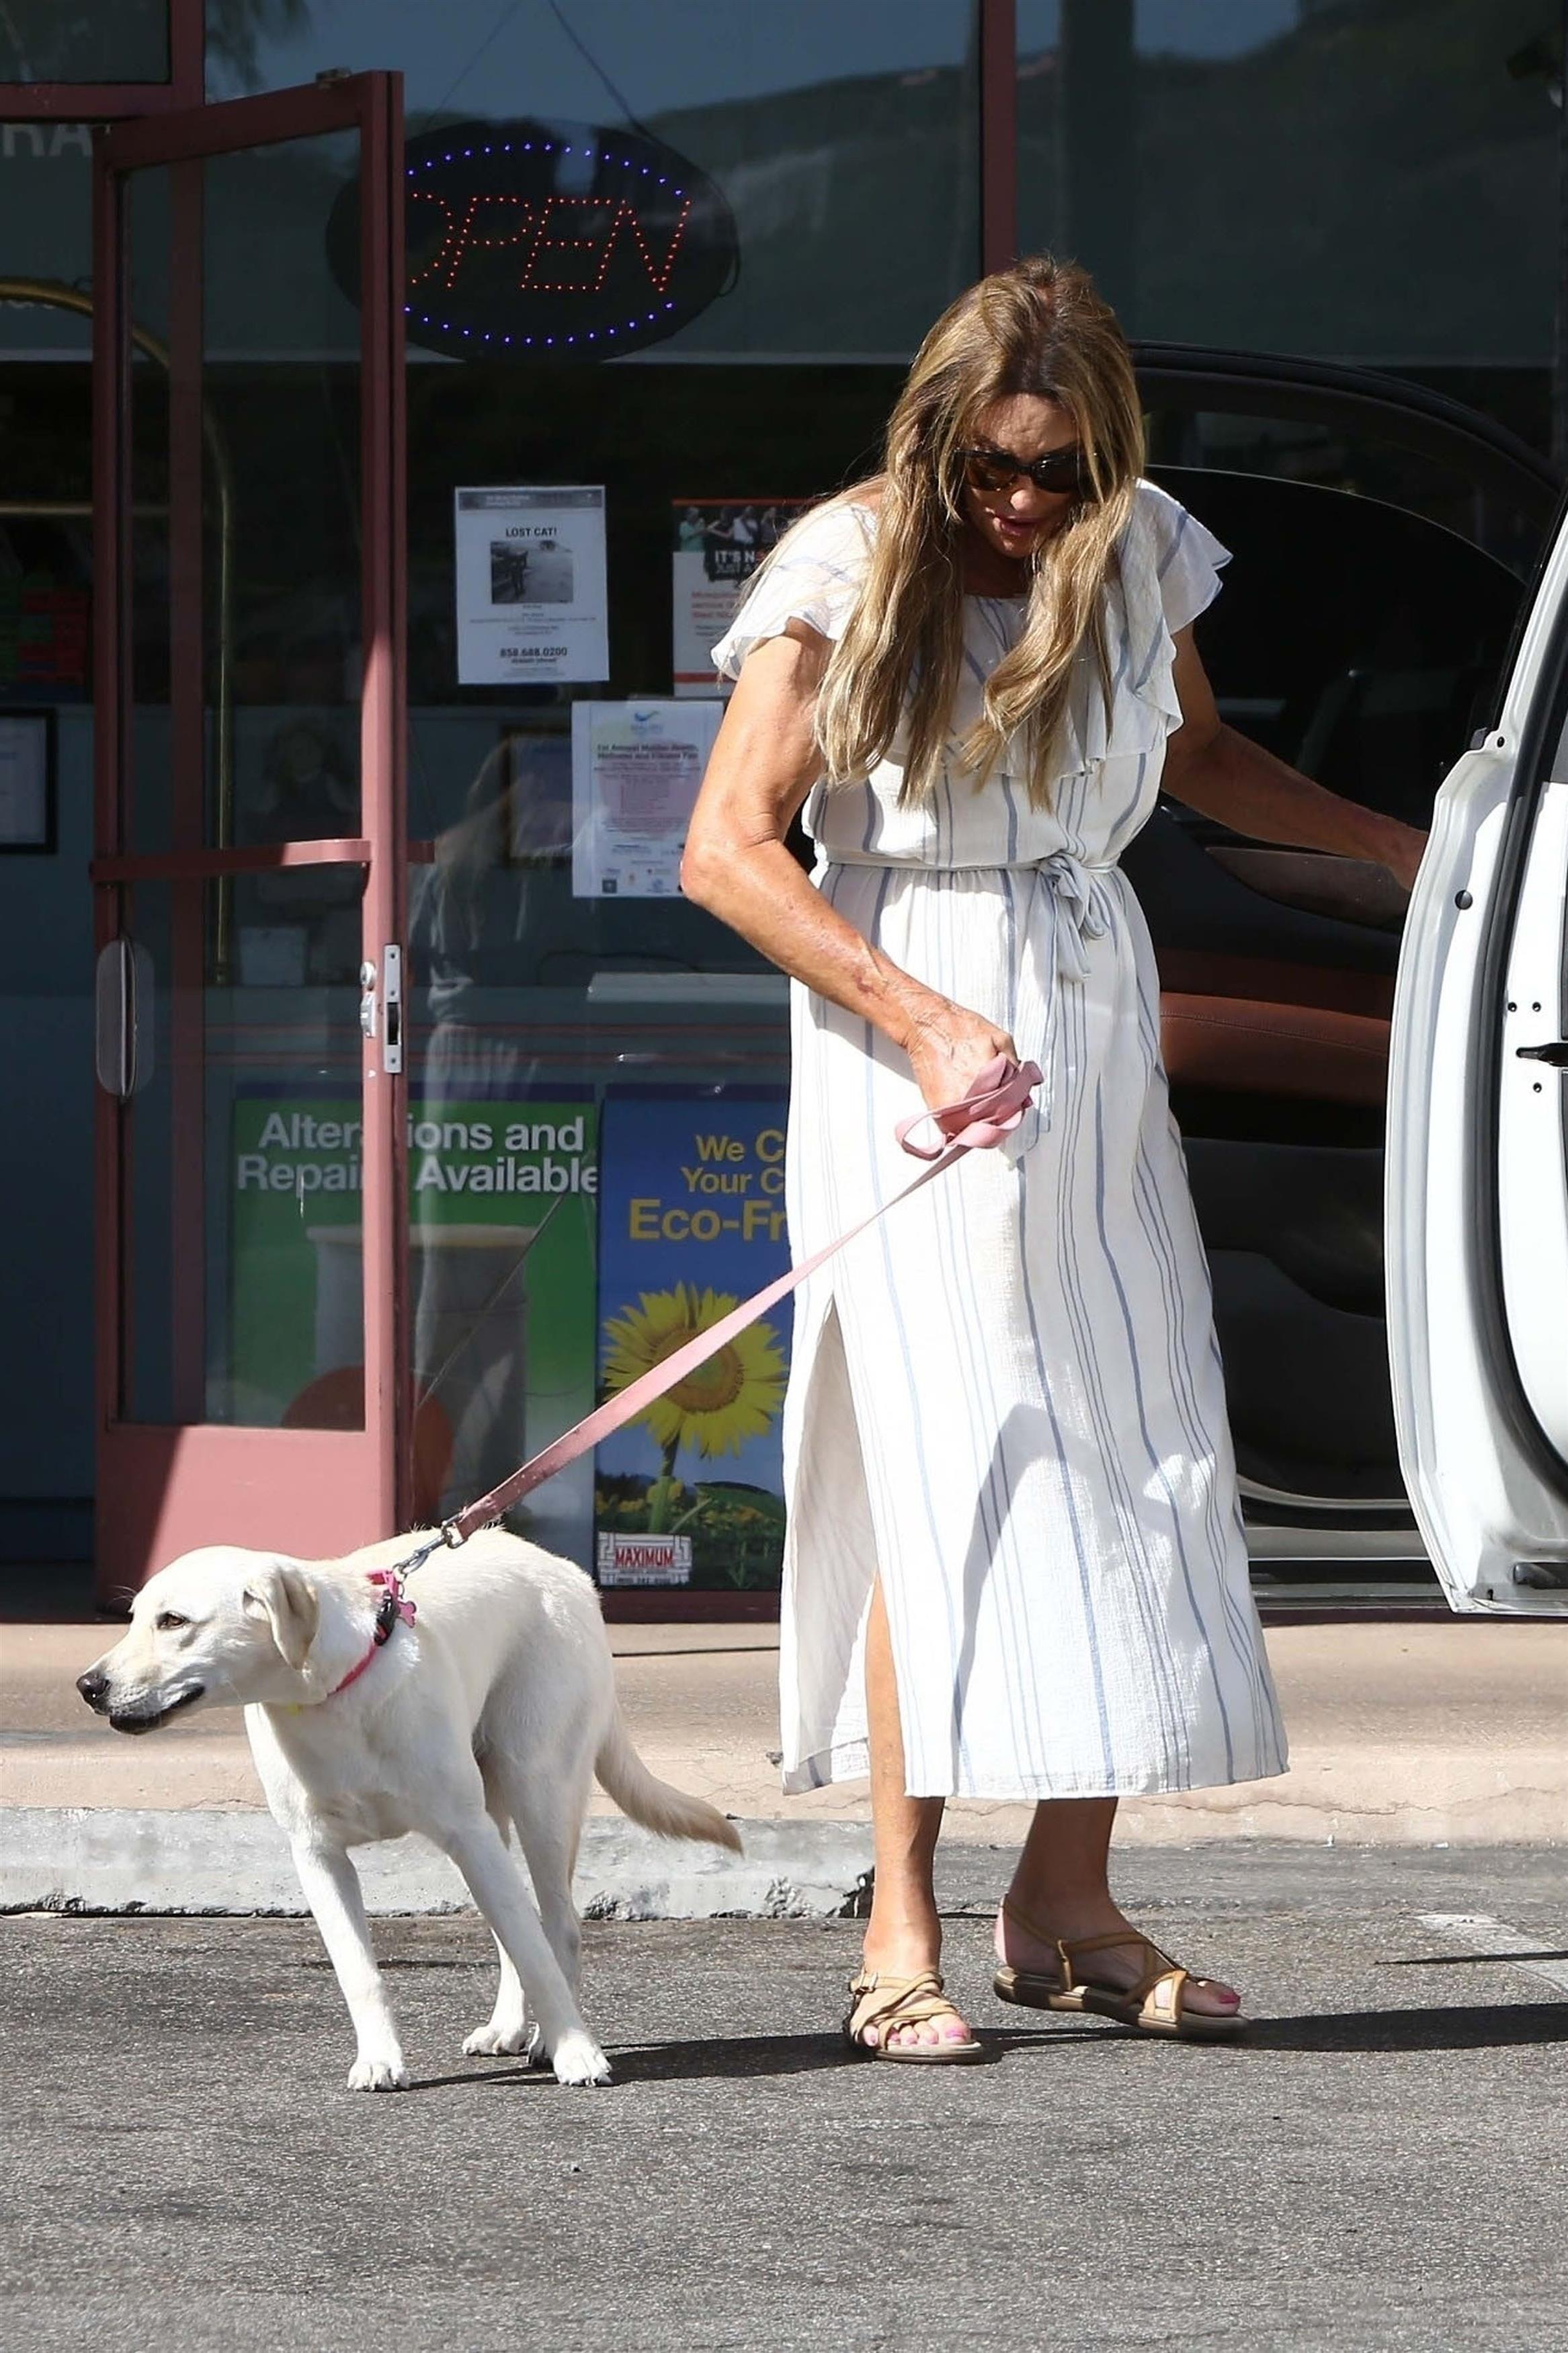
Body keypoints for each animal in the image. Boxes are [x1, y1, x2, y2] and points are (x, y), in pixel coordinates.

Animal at [81, 1534, 747, 2089]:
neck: (333, 1695)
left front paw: (576, 2051)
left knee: (554, 1925)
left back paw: (547, 2038)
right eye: (134, 1617)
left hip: (538, 1794)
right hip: (488, 1829)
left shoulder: (470, 1833)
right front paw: (380, 2060)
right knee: (514, 1928)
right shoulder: (318, 1857)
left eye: (174, 1621)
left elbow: (535, 1952)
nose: (88, 1686)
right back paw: (509, 2029)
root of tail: (566, 1570)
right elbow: (361, 1972)